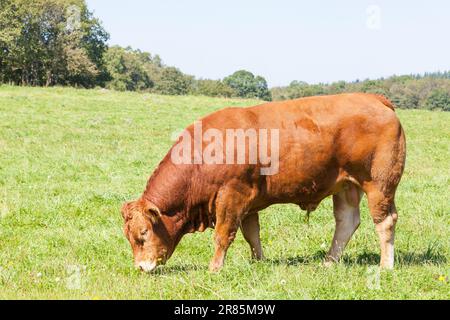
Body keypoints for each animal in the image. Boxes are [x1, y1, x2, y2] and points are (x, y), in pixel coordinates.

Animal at [121, 92, 406, 272]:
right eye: (129, 236)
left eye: (143, 233)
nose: (141, 267)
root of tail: (374, 99)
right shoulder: (247, 202)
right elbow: (251, 234)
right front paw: (258, 261)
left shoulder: (232, 196)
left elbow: (223, 235)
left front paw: (215, 268)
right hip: (347, 185)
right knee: (347, 222)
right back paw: (329, 262)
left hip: (379, 184)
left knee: (385, 222)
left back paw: (385, 265)